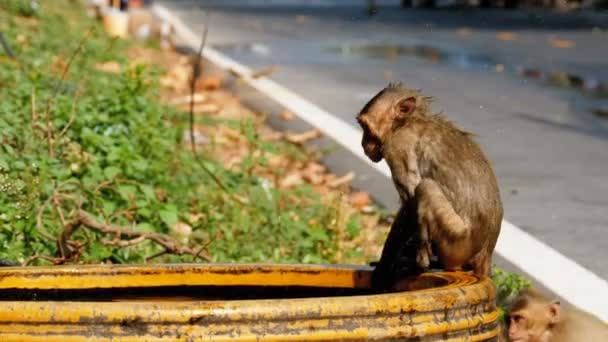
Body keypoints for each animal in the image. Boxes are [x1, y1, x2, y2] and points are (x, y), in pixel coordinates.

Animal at [356, 83, 504, 288]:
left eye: (367, 129)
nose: (363, 144)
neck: (407, 122)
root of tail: (486, 254)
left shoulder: (398, 147)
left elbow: (410, 201)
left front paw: (383, 269)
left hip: (458, 243)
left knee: (425, 187)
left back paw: (422, 264)